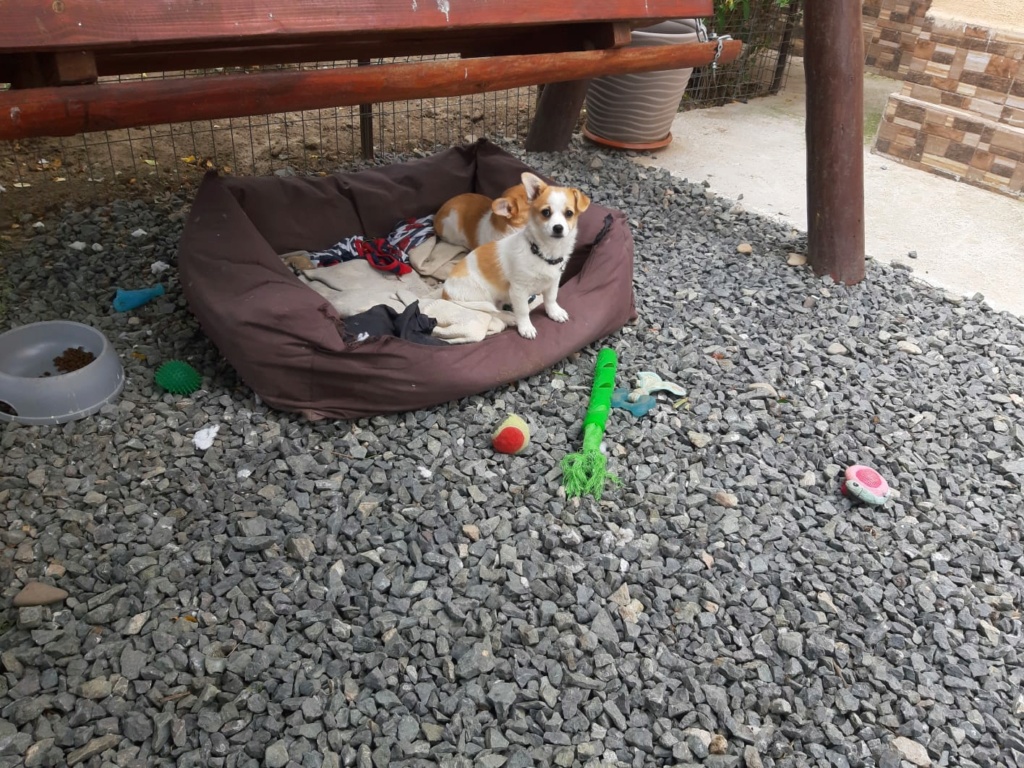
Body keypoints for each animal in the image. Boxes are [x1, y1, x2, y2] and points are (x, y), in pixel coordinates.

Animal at [440, 176, 593, 344]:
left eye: (569, 213)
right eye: (546, 212)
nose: (558, 228)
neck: (542, 253)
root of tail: (445, 291)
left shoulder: (553, 282)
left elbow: (551, 298)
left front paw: (554, 312)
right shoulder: (519, 290)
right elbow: (523, 310)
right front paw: (526, 327)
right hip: (481, 297)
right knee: (492, 313)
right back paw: (510, 317)